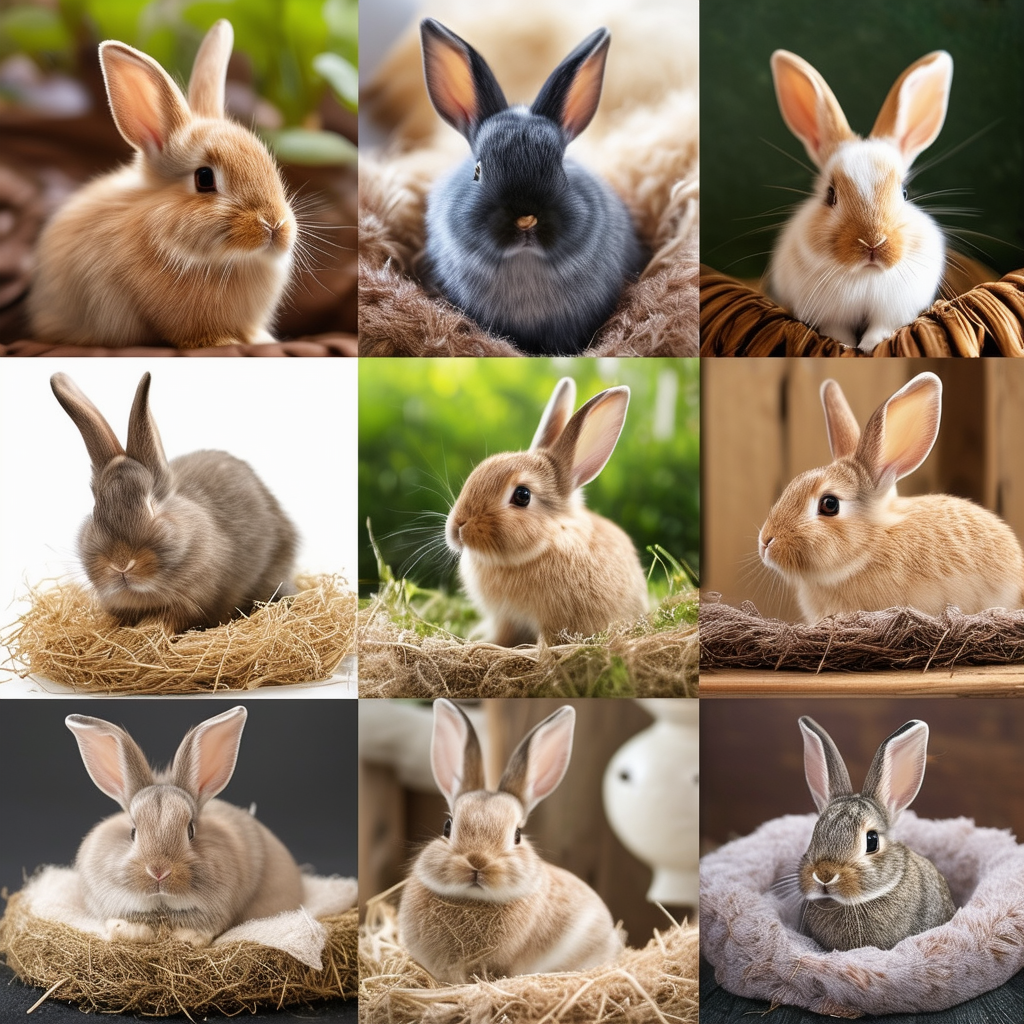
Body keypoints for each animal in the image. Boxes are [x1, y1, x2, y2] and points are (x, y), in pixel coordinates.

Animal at [51, 371, 298, 634]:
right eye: (96, 510)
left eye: (151, 506)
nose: (121, 565)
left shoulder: (195, 599)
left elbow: (171, 619)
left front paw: (146, 631)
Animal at [445, 376, 648, 647]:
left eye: (522, 495)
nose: (457, 528)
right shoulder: (505, 618)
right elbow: (501, 636)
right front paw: (480, 642)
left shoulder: (555, 622)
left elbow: (547, 643)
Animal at [766, 50, 953, 352]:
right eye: (830, 194)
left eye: (905, 193)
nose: (873, 242)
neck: (866, 276)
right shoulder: (830, 315)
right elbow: (836, 330)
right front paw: (843, 346)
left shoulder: (891, 312)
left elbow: (880, 328)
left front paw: (869, 346)